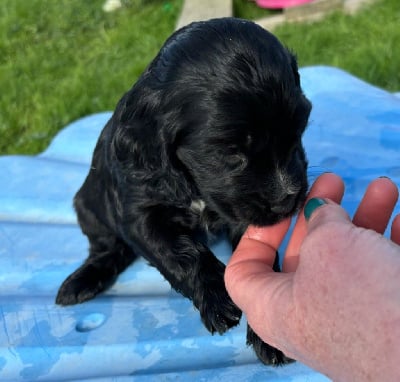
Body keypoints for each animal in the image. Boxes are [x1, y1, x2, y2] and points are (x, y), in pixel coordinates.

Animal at [56, 17, 310, 364]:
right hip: (88, 207)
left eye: (298, 133)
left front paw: (266, 326)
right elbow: (179, 252)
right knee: (107, 248)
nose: (288, 197)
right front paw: (217, 298)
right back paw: (81, 282)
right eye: (231, 153)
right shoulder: (139, 212)